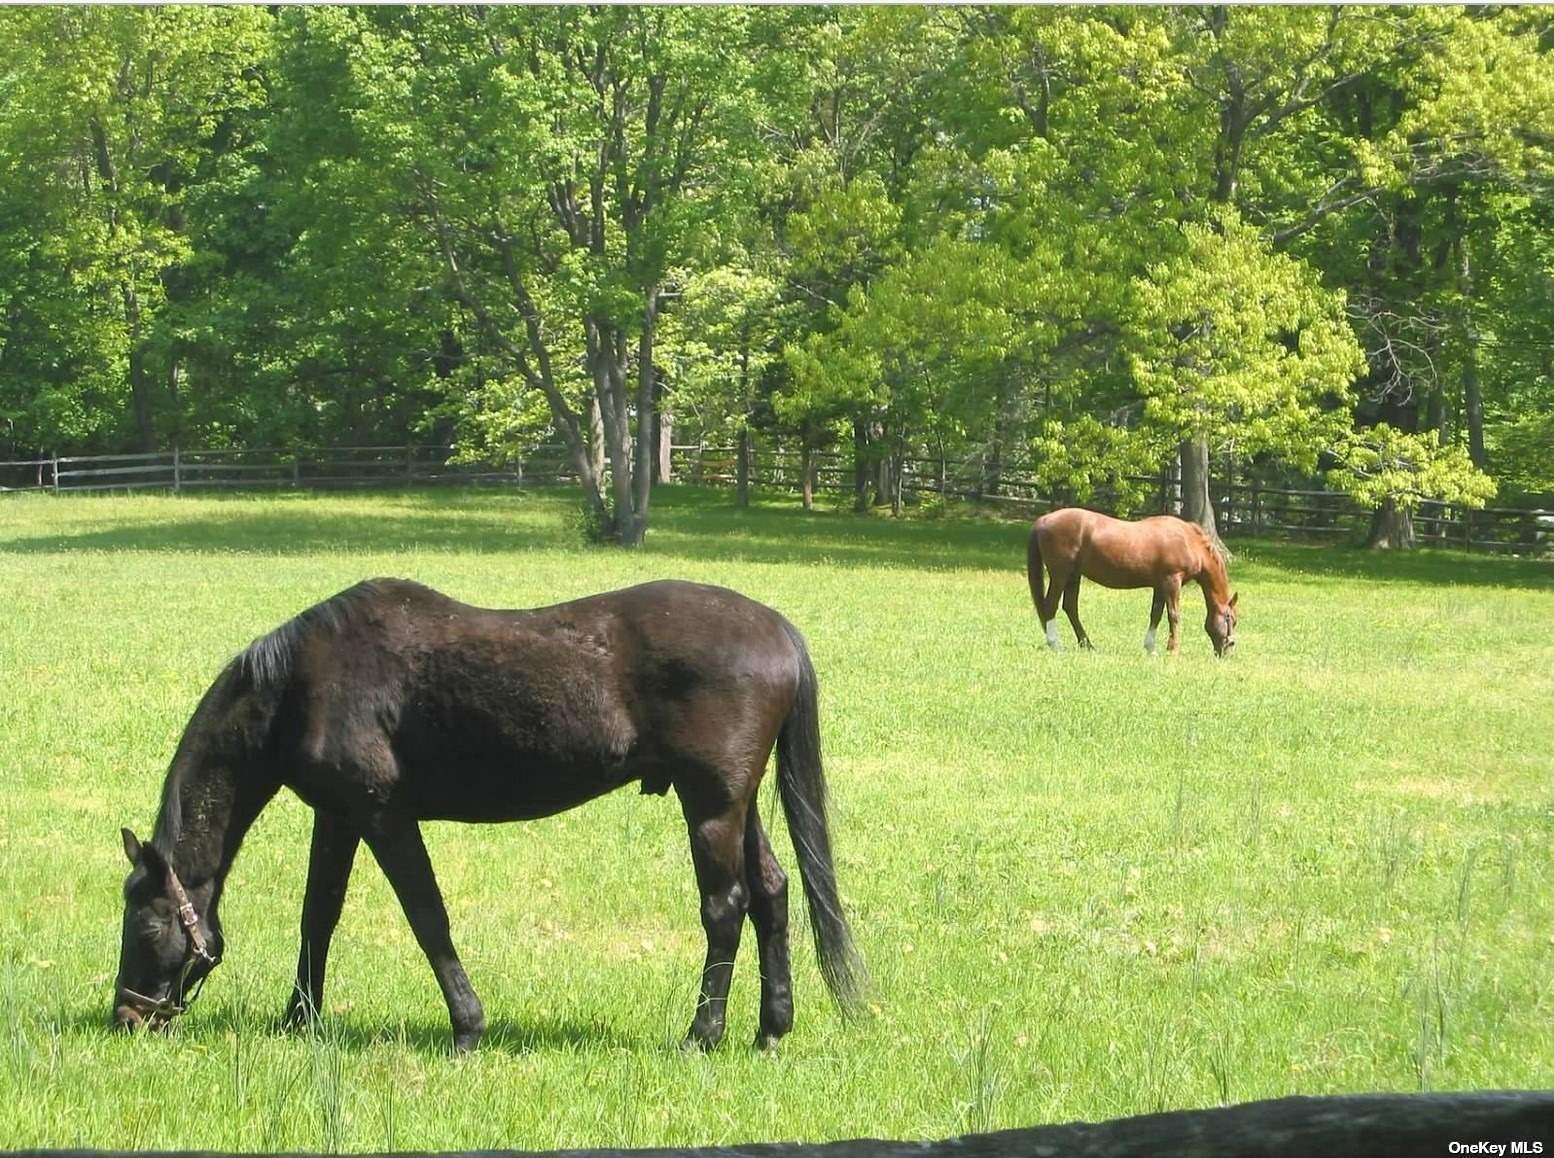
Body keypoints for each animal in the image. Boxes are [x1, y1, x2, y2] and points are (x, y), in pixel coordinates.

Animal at [114, 575, 870, 1050]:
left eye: (145, 924)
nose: (128, 1015)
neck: (301, 684)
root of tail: (778, 631)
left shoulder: (383, 814)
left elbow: (427, 916)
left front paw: (467, 1026)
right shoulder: (340, 816)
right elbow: (318, 914)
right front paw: (298, 1020)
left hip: (710, 806)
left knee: (726, 907)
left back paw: (701, 1035)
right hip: (733, 803)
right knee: (772, 894)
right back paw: (770, 1028)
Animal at [1031, 506, 1236, 655]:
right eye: (1231, 620)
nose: (1227, 650)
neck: (1188, 541)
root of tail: (1044, 520)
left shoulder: (1160, 586)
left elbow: (1156, 614)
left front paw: (1151, 648)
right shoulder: (1172, 582)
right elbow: (1174, 615)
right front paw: (1172, 650)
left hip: (1074, 576)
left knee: (1070, 607)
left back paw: (1087, 645)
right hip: (1060, 575)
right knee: (1051, 605)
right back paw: (1056, 645)